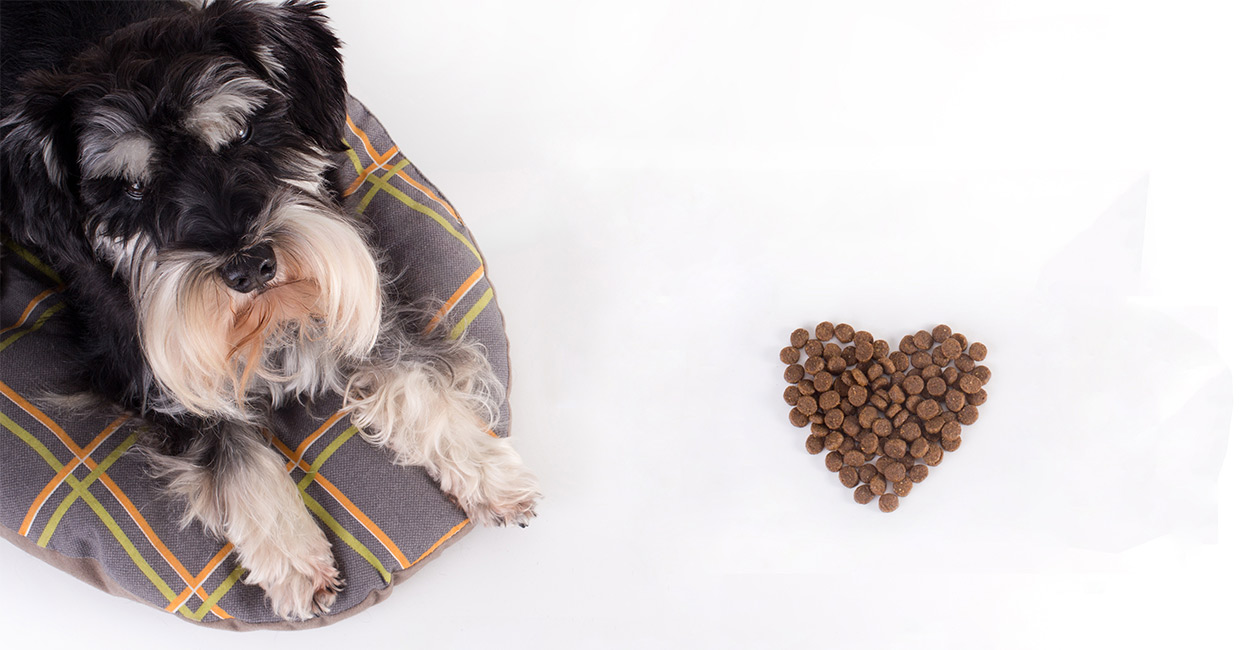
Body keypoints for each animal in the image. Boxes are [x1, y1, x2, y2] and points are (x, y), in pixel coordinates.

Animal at [1, 0, 537, 620]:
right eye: (132, 191)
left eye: (242, 132)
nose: (250, 267)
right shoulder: (159, 381)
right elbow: (237, 457)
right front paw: (295, 559)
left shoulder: (360, 300)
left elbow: (413, 379)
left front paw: (490, 471)